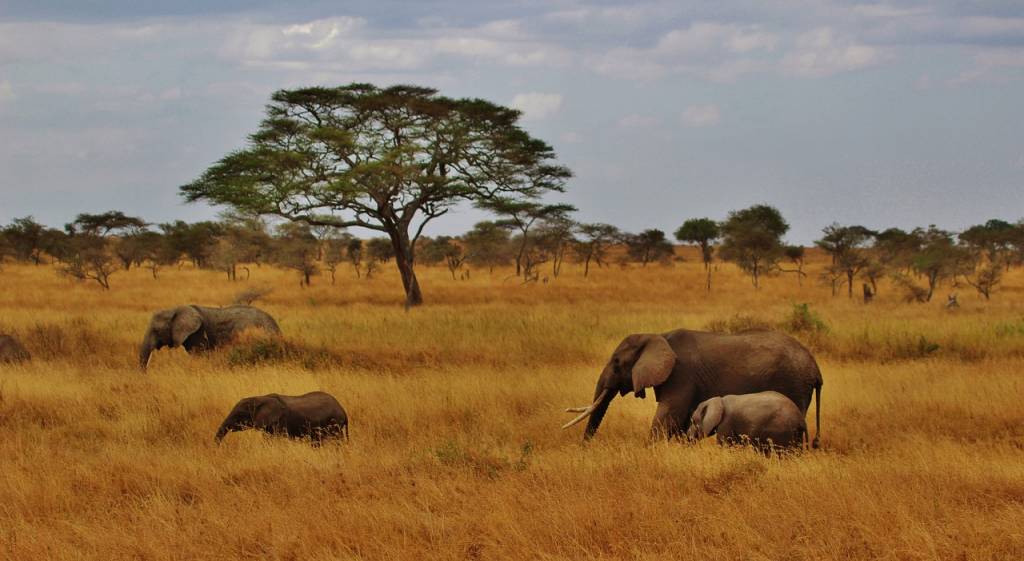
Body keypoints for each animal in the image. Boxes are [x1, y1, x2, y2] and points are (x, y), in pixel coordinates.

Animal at [215, 391, 348, 446]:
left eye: (240, 414)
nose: (219, 448)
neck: (260, 398)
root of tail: (343, 410)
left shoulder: (280, 422)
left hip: (334, 423)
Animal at [561, 329, 823, 446]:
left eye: (616, 363)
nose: (585, 447)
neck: (657, 337)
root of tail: (816, 368)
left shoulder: (681, 375)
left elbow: (668, 417)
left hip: (794, 383)